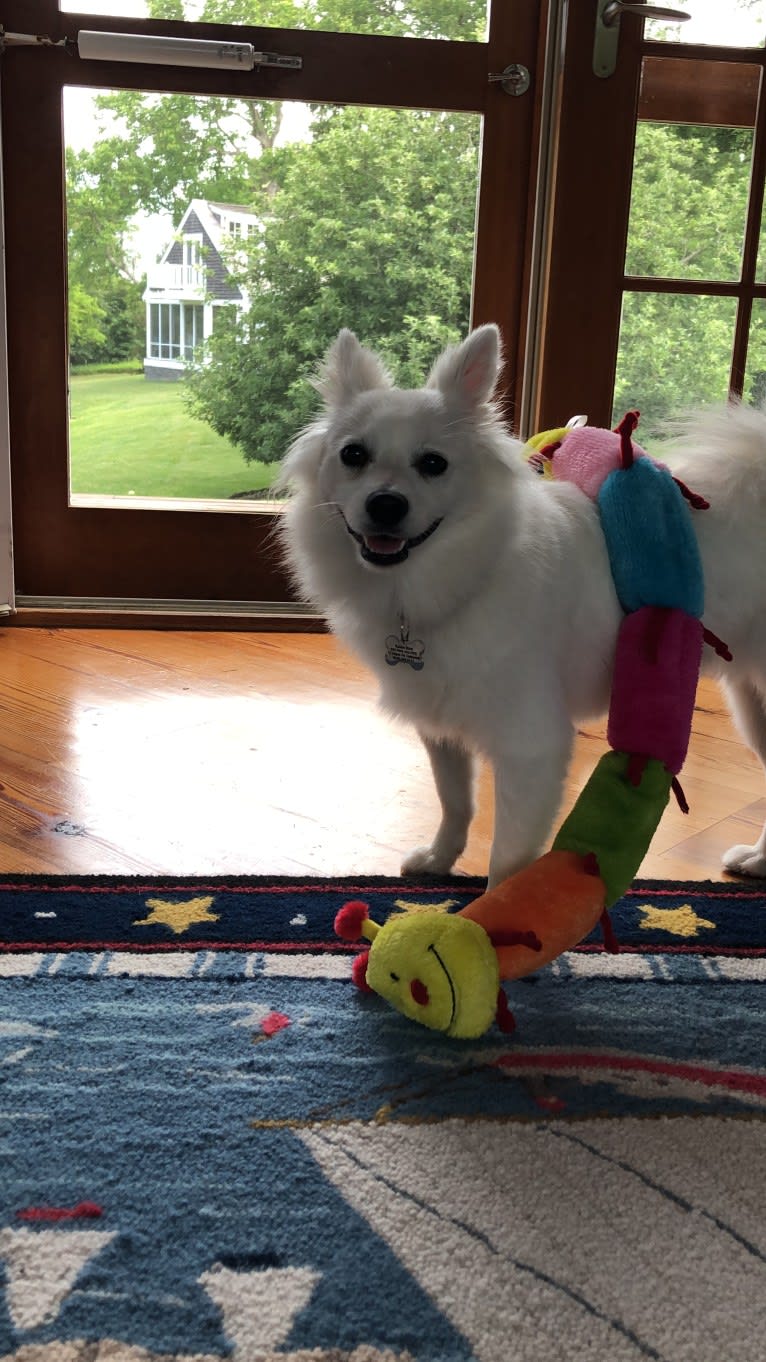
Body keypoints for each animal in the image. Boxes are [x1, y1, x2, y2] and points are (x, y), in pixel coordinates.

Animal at [276, 325, 763, 888]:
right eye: (353, 455)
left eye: (433, 464)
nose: (385, 504)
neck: (445, 578)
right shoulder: (441, 726)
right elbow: (455, 801)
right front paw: (439, 861)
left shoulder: (531, 750)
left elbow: (507, 860)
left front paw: (490, 910)